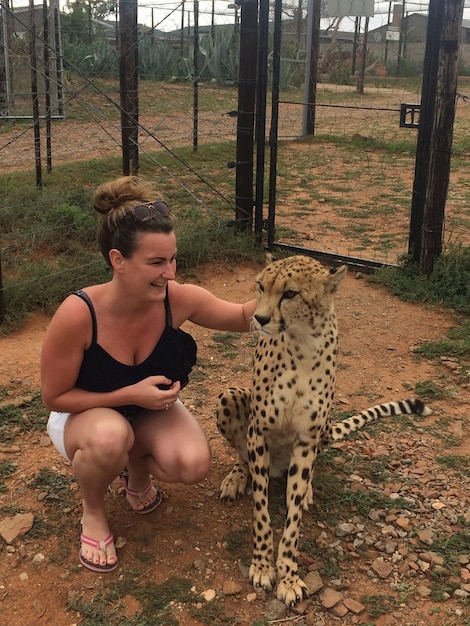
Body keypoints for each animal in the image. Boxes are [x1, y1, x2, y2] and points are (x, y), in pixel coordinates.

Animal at [216, 254, 430, 604]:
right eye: (261, 286)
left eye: (290, 293)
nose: (259, 318)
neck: (301, 343)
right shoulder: (259, 431)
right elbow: (261, 511)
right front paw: (261, 564)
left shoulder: (306, 438)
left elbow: (292, 522)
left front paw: (288, 575)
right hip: (230, 397)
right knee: (242, 457)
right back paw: (236, 477)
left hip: (322, 430)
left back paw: (306, 491)